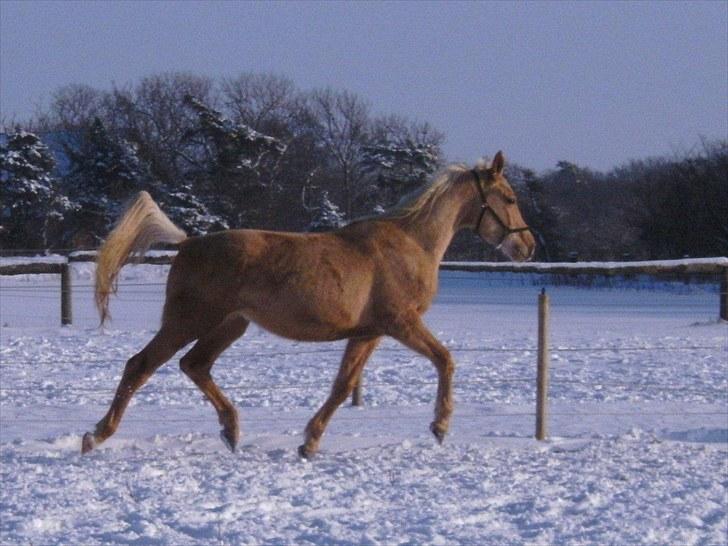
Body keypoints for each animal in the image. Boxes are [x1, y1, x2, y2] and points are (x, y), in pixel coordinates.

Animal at [82, 152, 536, 454]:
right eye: (510, 198)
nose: (527, 246)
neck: (410, 243)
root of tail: (189, 243)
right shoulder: (400, 323)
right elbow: (445, 359)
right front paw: (440, 425)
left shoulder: (368, 333)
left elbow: (343, 386)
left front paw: (310, 442)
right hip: (189, 320)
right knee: (141, 365)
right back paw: (96, 435)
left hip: (230, 324)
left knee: (194, 365)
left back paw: (232, 432)